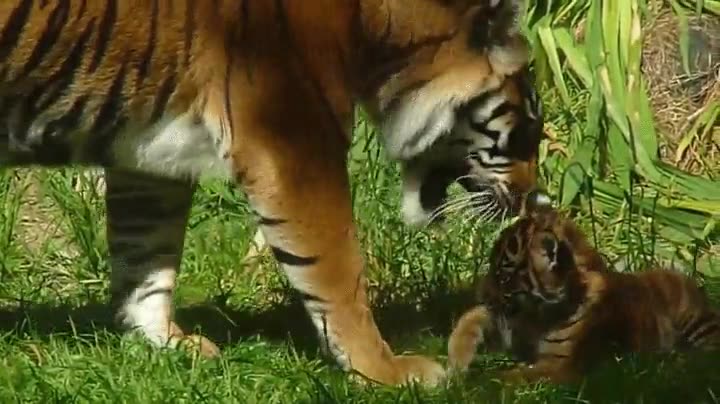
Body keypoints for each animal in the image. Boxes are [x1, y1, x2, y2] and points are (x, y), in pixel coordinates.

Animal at [0, 0, 544, 386]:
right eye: (528, 132)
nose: (534, 200)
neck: (378, 35)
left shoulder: (150, 155)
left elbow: (146, 253)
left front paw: (163, 341)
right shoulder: (294, 139)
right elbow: (338, 272)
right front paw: (385, 370)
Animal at [447, 192, 720, 384]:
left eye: (503, 276)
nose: (481, 295)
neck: (539, 315)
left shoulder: (561, 366)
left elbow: (508, 377)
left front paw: (474, 385)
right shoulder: (511, 328)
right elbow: (473, 318)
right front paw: (457, 360)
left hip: (698, 324)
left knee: (707, 359)